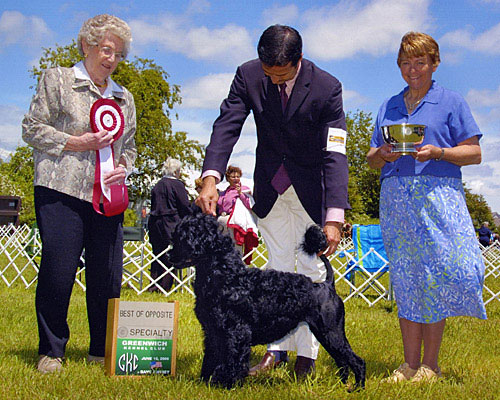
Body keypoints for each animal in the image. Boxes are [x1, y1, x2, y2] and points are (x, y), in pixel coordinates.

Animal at [168, 214, 364, 390]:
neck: (226, 276)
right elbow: (212, 357)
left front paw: (226, 384)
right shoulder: (212, 331)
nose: (169, 255)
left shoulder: (236, 332)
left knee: (357, 361)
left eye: (183, 237)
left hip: (332, 332)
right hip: (325, 334)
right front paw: (206, 381)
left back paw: (357, 388)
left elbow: (232, 360)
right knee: (342, 361)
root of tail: (327, 284)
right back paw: (342, 384)